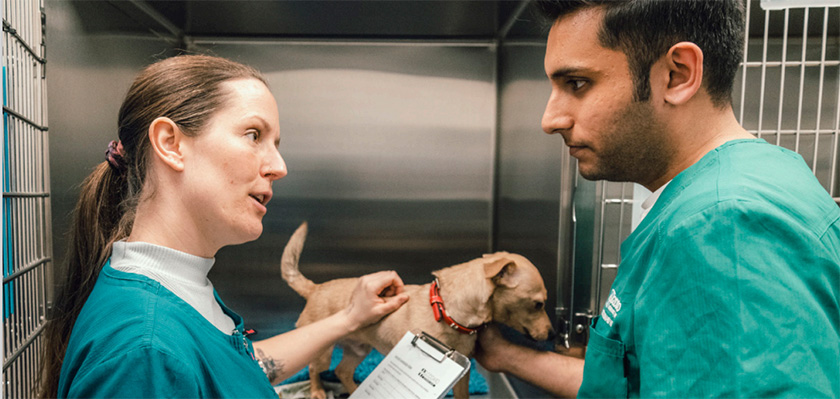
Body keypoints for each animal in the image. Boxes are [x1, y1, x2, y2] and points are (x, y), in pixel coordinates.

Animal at [282, 223, 556, 398]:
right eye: (538, 304)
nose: (554, 335)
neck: (447, 313)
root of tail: (314, 288)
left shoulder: (462, 374)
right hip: (322, 351)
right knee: (314, 369)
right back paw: (317, 391)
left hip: (358, 349)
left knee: (342, 371)